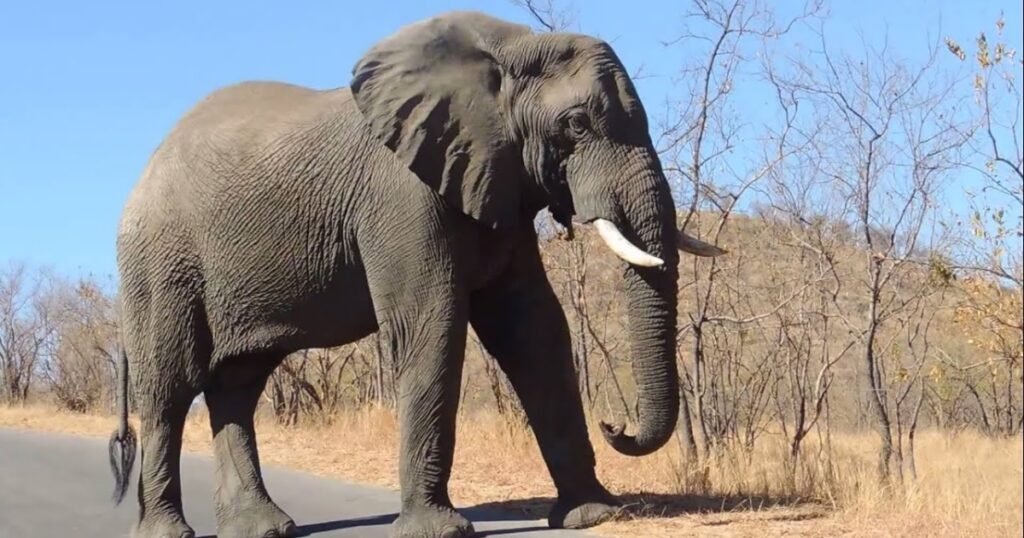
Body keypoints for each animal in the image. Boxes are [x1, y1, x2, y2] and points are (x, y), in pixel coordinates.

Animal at [106, 10, 725, 538]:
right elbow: (432, 326)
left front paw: (592, 516)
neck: (505, 48)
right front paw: (439, 530)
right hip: (162, 264)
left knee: (236, 386)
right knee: (169, 388)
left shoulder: (495, 183)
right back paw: (169, 531)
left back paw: (263, 528)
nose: (615, 425)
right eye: (575, 124)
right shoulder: (402, 196)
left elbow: (535, 331)